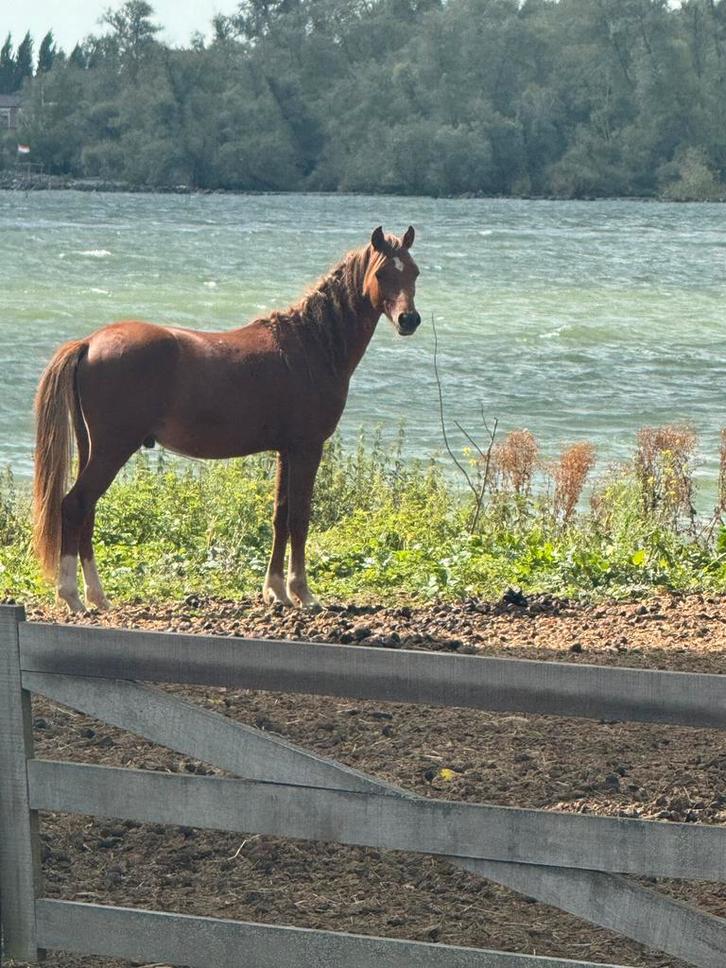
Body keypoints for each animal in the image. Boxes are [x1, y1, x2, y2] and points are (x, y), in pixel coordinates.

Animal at [32, 225, 421, 613]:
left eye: (414, 272)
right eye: (382, 273)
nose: (409, 320)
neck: (312, 345)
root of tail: (89, 343)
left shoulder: (286, 451)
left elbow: (280, 516)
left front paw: (275, 590)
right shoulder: (307, 448)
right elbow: (299, 518)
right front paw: (302, 591)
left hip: (93, 449)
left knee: (87, 512)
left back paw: (97, 596)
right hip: (112, 450)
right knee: (74, 506)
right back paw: (72, 596)